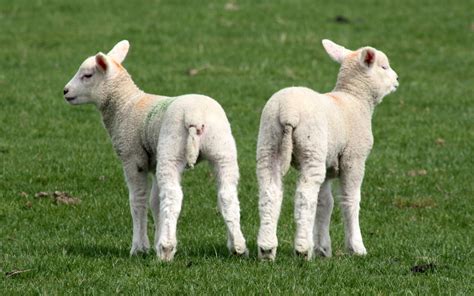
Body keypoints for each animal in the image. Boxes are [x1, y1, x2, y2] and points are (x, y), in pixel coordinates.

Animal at [258, 38, 398, 260]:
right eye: (384, 67)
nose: (397, 79)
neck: (354, 99)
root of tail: (287, 112)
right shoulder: (354, 158)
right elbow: (350, 200)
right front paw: (356, 247)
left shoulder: (328, 164)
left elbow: (325, 203)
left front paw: (323, 248)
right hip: (312, 147)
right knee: (305, 195)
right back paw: (302, 249)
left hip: (268, 143)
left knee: (269, 192)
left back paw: (267, 249)